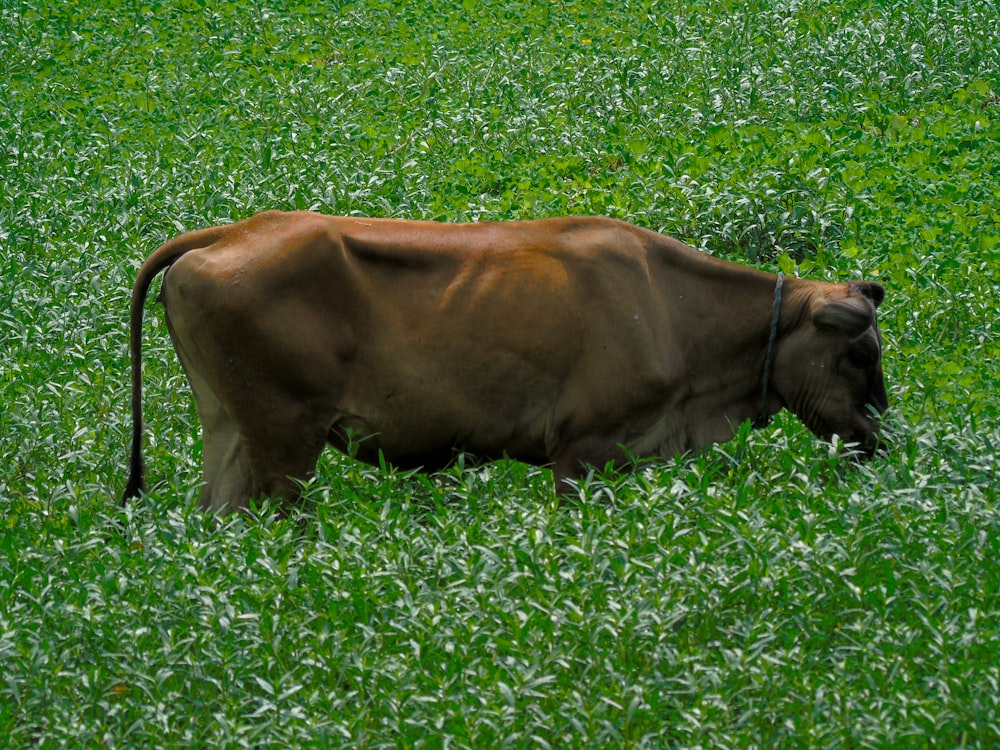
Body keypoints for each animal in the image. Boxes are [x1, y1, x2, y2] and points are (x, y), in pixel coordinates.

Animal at [123, 213, 884, 516]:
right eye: (858, 352)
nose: (879, 435)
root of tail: (236, 230)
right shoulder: (583, 450)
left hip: (227, 428)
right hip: (284, 438)